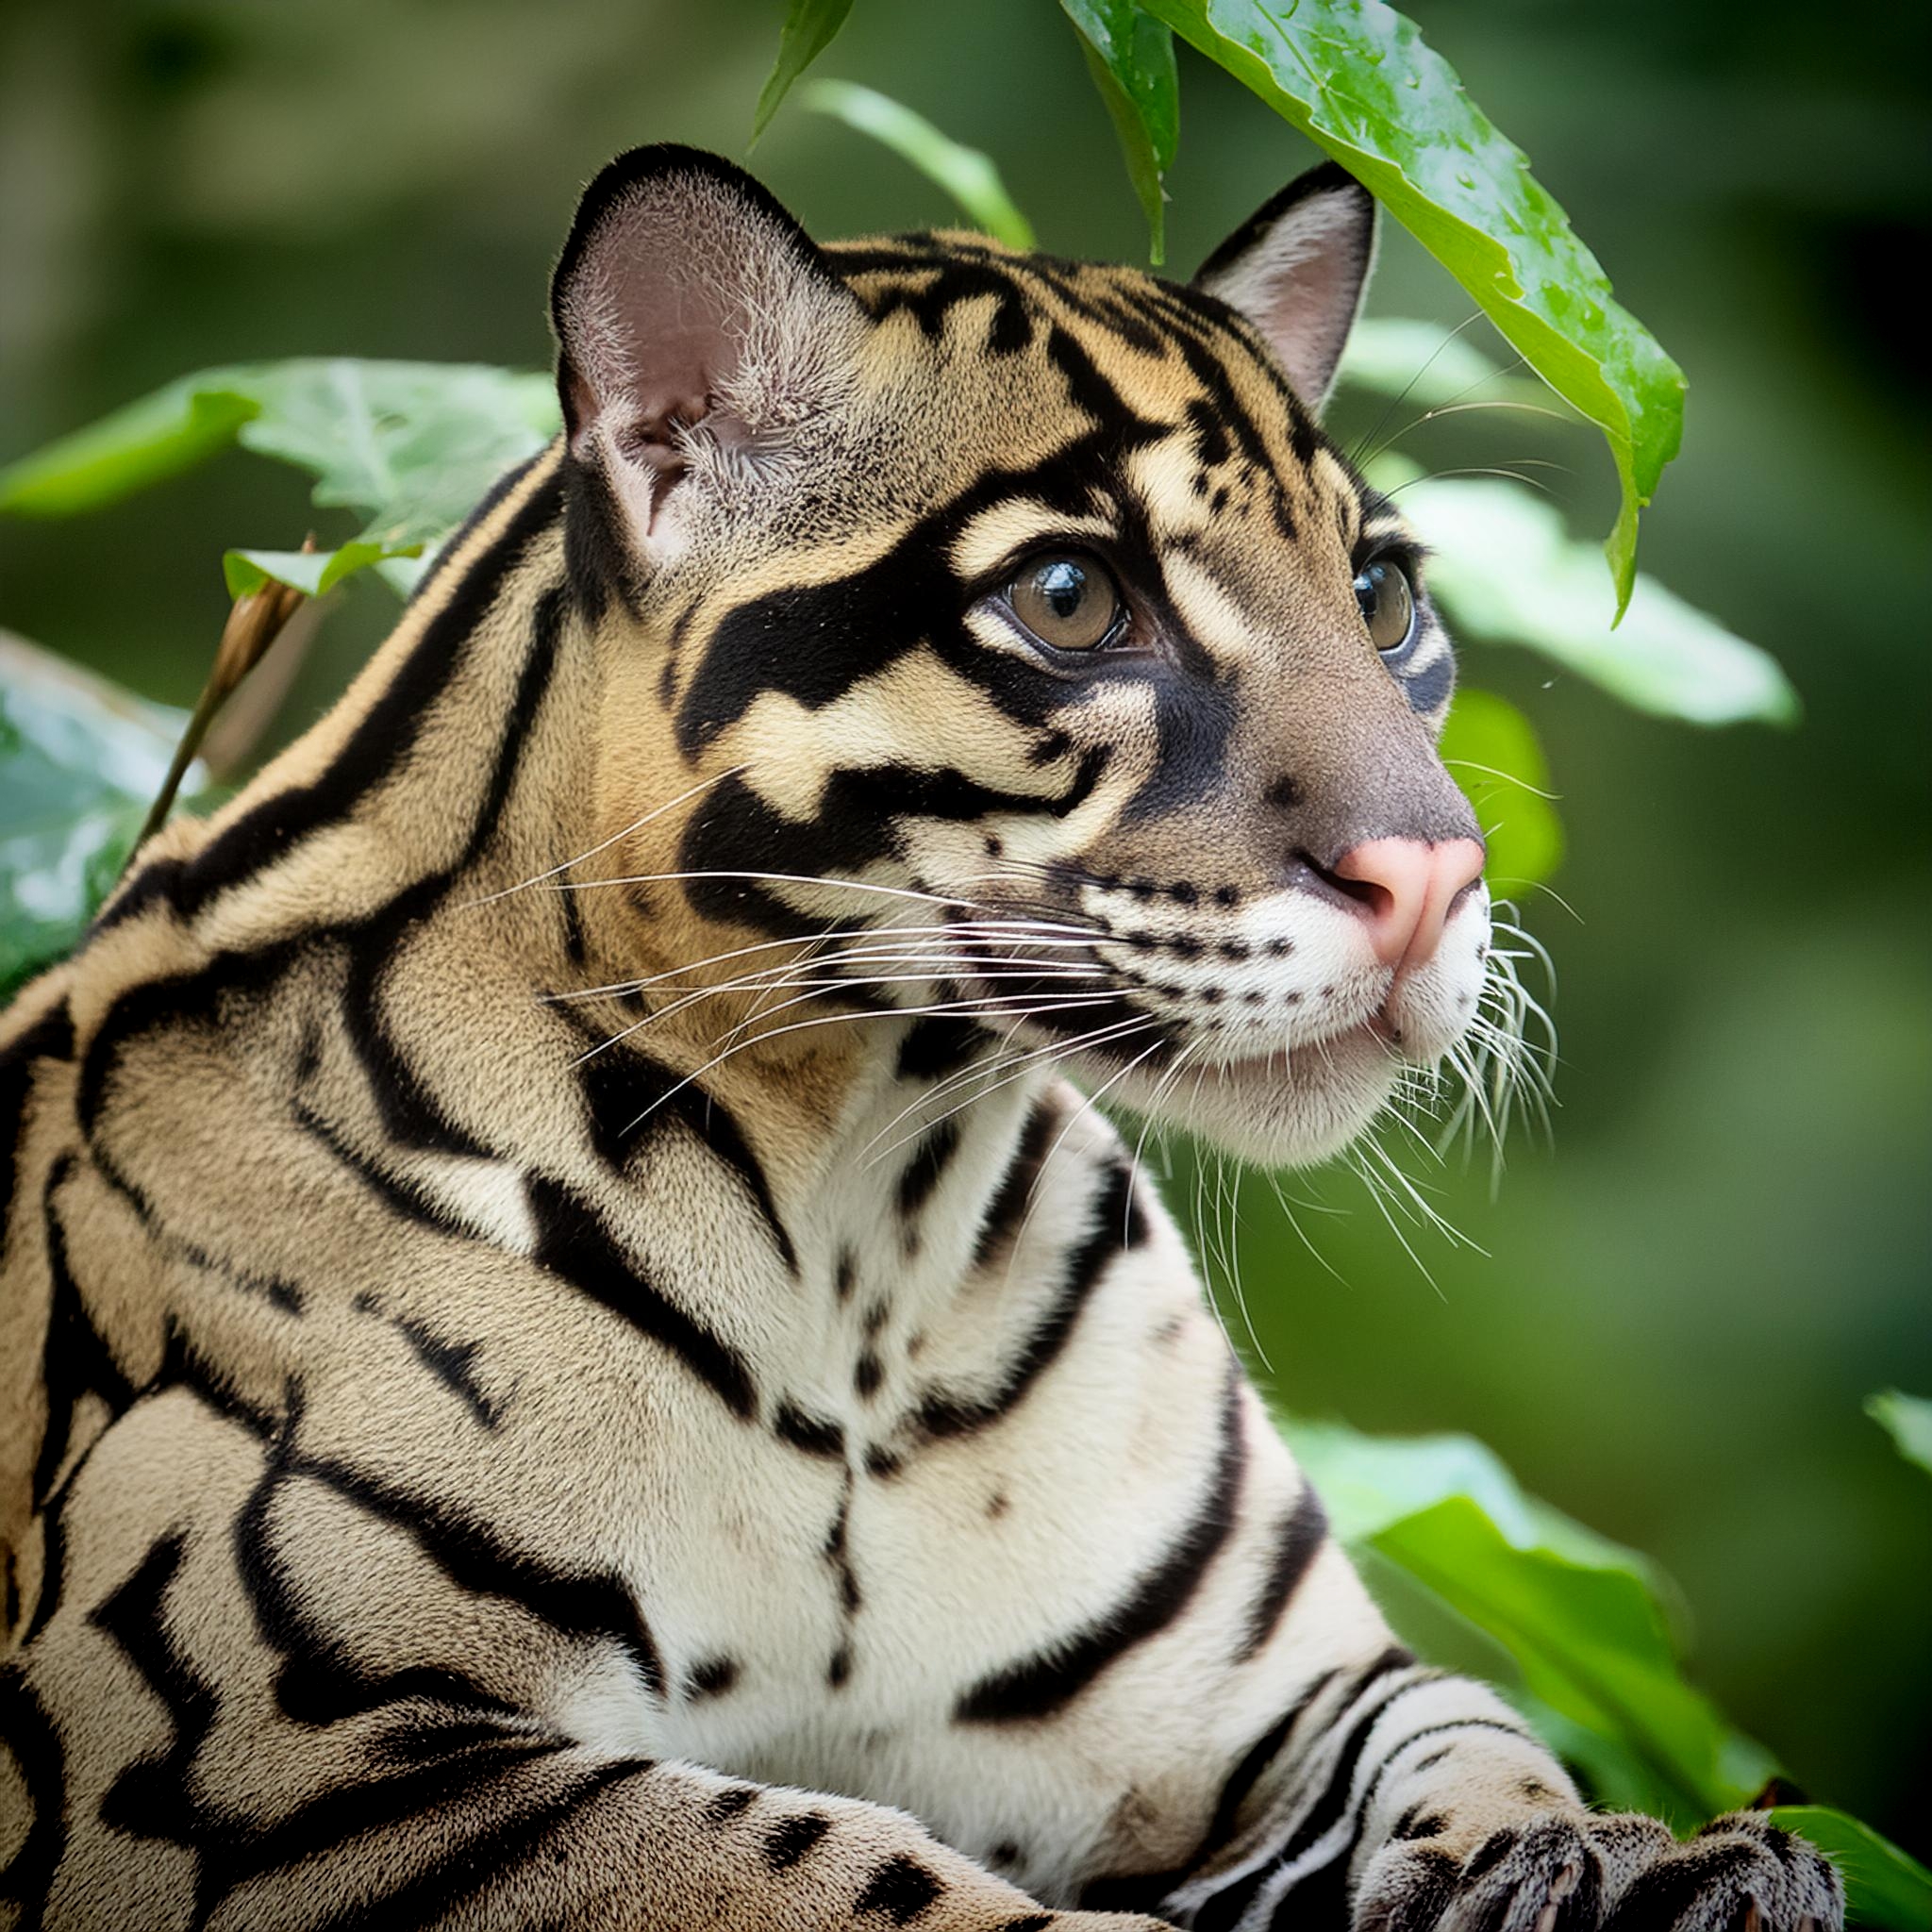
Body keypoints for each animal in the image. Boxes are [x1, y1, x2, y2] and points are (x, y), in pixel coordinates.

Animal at [0, 142, 1839, 1924]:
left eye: (1381, 593)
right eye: (1072, 596)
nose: (1438, 876)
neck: (863, 1222)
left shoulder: (1270, 1706)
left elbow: (1474, 1738)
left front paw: (1640, 1860)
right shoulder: (257, 1752)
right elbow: (849, 1877)